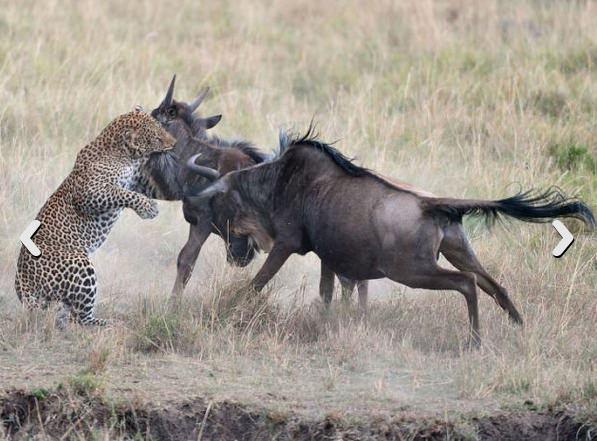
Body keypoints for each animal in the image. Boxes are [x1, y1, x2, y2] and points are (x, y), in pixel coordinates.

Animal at [14, 107, 175, 326]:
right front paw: (147, 207)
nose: (174, 143)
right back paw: (109, 323)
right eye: (157, 138)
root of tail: (22, 286)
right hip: (79, 263)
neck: (123, 155)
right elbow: (121, 193)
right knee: (79, 318)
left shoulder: (139, 181)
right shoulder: (89, 193)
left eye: (162, 128)